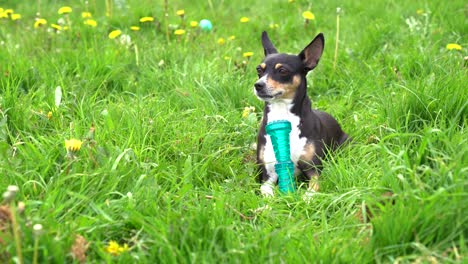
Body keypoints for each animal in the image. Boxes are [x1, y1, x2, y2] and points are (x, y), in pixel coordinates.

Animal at [254, 31, 350, 196]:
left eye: (282, 71)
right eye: (259, 70)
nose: (258, 85)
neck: (282, 112)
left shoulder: (314, 170)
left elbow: (312, 190)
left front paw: (306, 199)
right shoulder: (268, 174)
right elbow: (266, 191)